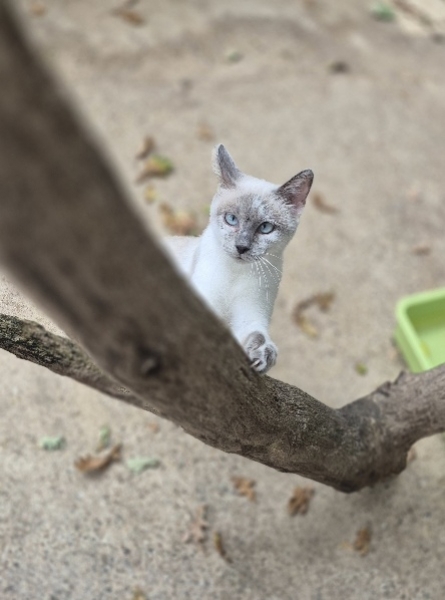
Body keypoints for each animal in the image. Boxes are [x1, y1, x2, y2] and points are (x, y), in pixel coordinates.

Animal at [163, 145, 313, 374]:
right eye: (231, 219)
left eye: (265, 228)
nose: (241, 247)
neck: (234, 273)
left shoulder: (250, 315)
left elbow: (258, 335)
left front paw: (262, 355)